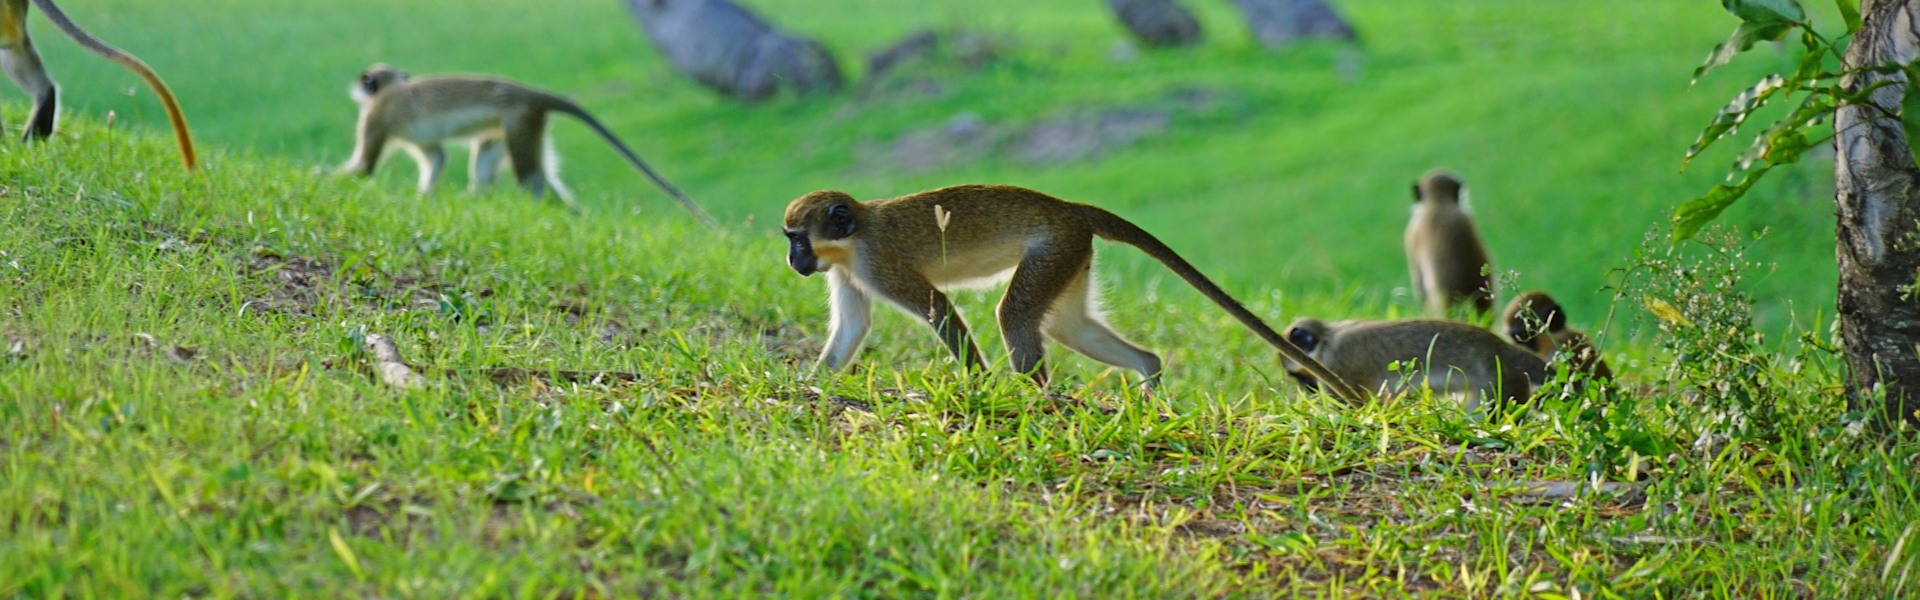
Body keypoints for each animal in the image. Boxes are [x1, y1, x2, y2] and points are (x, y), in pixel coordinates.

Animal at [334, 63, 718, 226]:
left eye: (365, 82)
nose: (359, 87)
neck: (392, 89)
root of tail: (529, 94)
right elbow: (437, 157)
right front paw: (424, 200)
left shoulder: (375, 116)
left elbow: (363, 168)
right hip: (517, 128)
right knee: (490, 164)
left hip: (520, 122)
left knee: (531, 181)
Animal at [779, 182, 1367, 398]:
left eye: (797, 239)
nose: (792, 261)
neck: (853, 236)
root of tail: (1070, 207)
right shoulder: (845, 272)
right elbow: (853, 327)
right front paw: (809, 385)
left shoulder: (877, 262)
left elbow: (938, 308)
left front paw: (978, 387)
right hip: (1070, 255)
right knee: (1067, 324)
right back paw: (1149, 372)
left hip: (1055, 246)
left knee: (1016, 316)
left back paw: (1036, 396)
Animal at [1274, 317, 1543, 409]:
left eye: (1302, 377)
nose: (1306, 389)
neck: (1328, 338)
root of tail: (1502, 348)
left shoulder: (1335, 363)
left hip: (1501, 383)